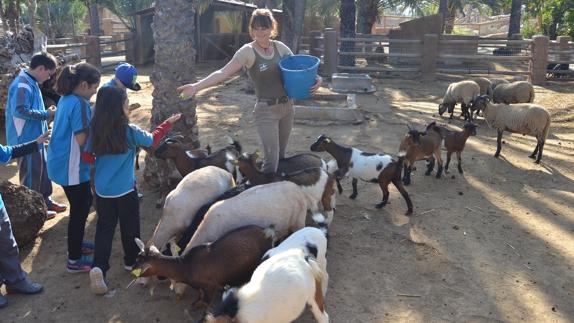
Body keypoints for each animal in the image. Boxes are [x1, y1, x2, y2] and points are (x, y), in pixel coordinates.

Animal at [132, 225, 274, 308]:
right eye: (137, 257)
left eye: (139, 261)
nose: (132, 269)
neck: (185, 266)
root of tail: (268, 232)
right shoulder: (199, 287)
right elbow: (199, 297)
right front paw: (195, 304)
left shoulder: (210, 286)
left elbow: (206, 302)